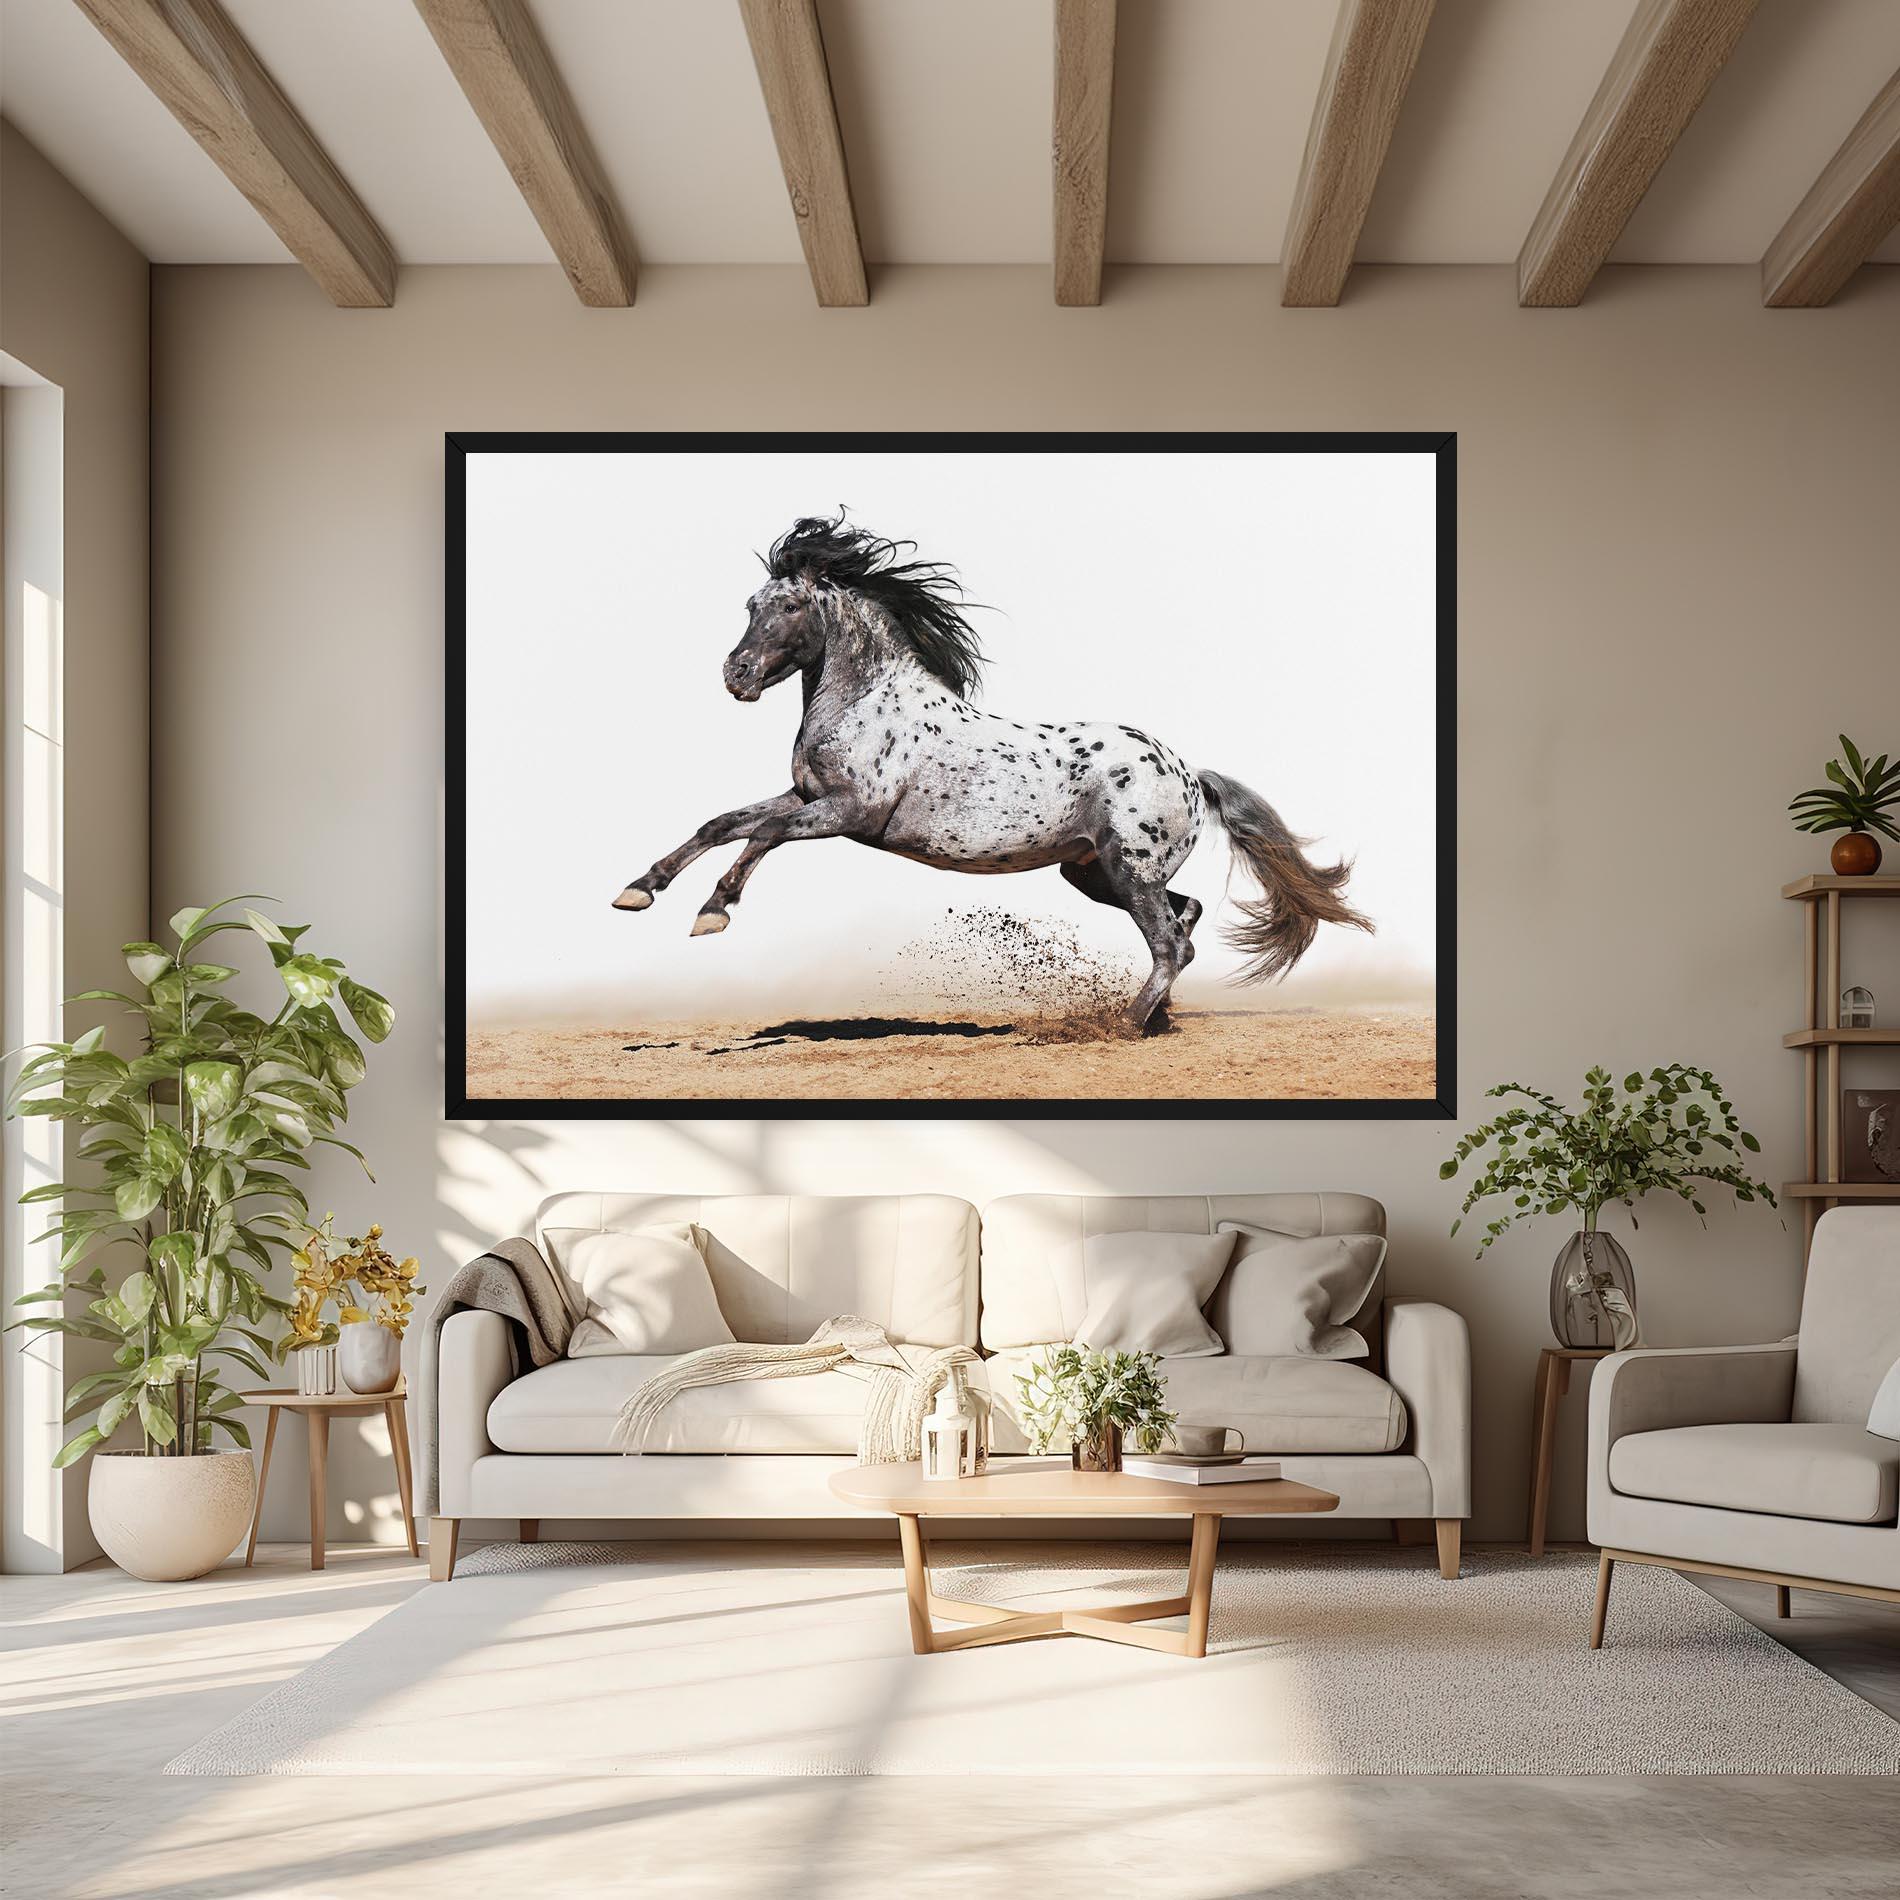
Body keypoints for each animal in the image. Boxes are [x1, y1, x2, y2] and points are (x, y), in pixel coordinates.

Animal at [613, 514, 1371, 1032]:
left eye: (792, 606)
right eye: (751, 607)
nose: (736, 675)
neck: (868, 702)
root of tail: (1188, 772)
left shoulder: (847, 815)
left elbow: (763, 836)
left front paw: (712, 913)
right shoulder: (806, 796)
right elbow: (723, 822)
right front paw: (638, 891)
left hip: (1128, 870)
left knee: (1166, 942)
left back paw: (1121, 1026)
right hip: (1093, 872)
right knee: (1184, 923)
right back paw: (1155, 1018)